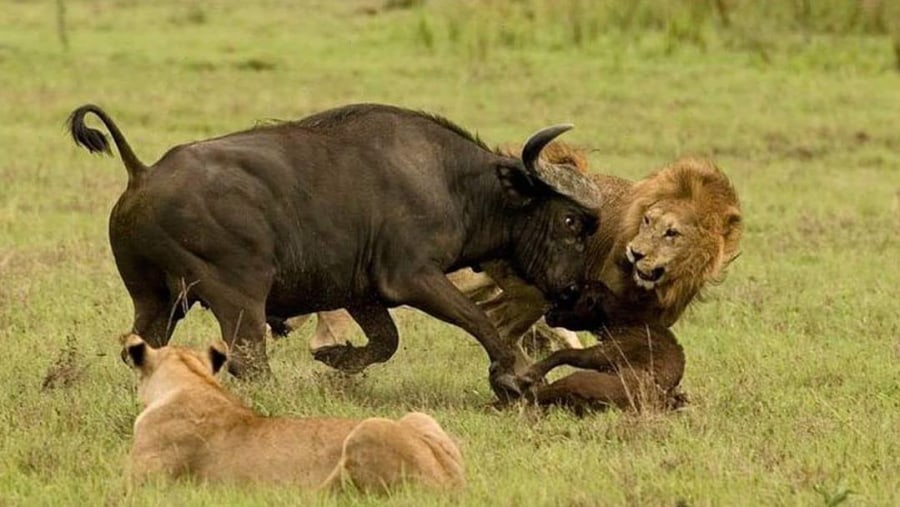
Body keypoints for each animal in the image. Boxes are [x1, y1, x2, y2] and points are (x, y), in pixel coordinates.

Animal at [70, 102, 600, 396]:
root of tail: (142, 174)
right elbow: (481, 324)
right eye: (570, 220)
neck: (453, 182)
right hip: (238, 297)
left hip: (157, 301)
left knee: (141, 347)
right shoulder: (414, 279)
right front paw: (513, 377)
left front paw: (335, 359)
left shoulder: (361, 294)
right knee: (248, 359)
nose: (573, 292)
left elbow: (385, 342)